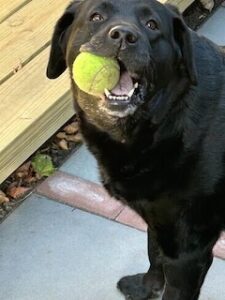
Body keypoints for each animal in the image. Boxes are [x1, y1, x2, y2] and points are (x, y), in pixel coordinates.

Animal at [46, 1, 225, 298]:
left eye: (152, 25)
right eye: (96, 17)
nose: (123, 35)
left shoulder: (188, 253)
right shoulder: (158, 220)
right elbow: (153, 250)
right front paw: (147, 286)